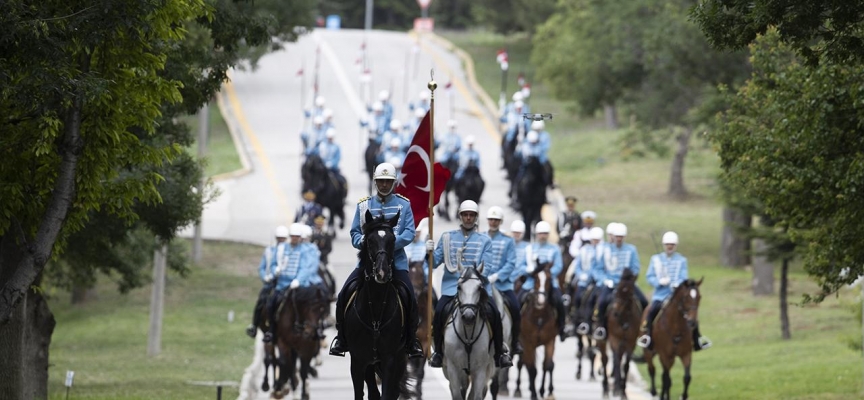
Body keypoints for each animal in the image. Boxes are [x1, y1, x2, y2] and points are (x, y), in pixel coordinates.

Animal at [342, 211, 414, 398]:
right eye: (369, 241)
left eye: (393, 240)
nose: (382, 273)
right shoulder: (358, 360)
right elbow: (360, 393)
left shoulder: (390, 359)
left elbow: (387, 394)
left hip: (399, 359)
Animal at [442, 260, 496, 400]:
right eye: (459, 287)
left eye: (479, 287)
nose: (468, 317)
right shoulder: (453, 369)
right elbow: (457, 393)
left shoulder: (480, 369)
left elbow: (476, 395)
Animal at [516, 262, 556, 400]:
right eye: (535, 279)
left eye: (549, 279)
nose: (541, 301)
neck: (539, 316)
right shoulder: (528, 343)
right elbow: (532, 369)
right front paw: (534, 394)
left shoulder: (550, 340)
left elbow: (547, 365)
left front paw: (546, 391)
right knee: (522, 364)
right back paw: (518, 389)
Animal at [596, 268, 644, 400]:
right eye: (617, 290)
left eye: (630, 292)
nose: (616, 312)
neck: (625, 318)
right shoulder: (615, 339)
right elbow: (617, 361)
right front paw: (617, 389)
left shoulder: (631, 342)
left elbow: (626, 365)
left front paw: (623, 391)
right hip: (602, 340)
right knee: (605, 360)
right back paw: (606, 389)